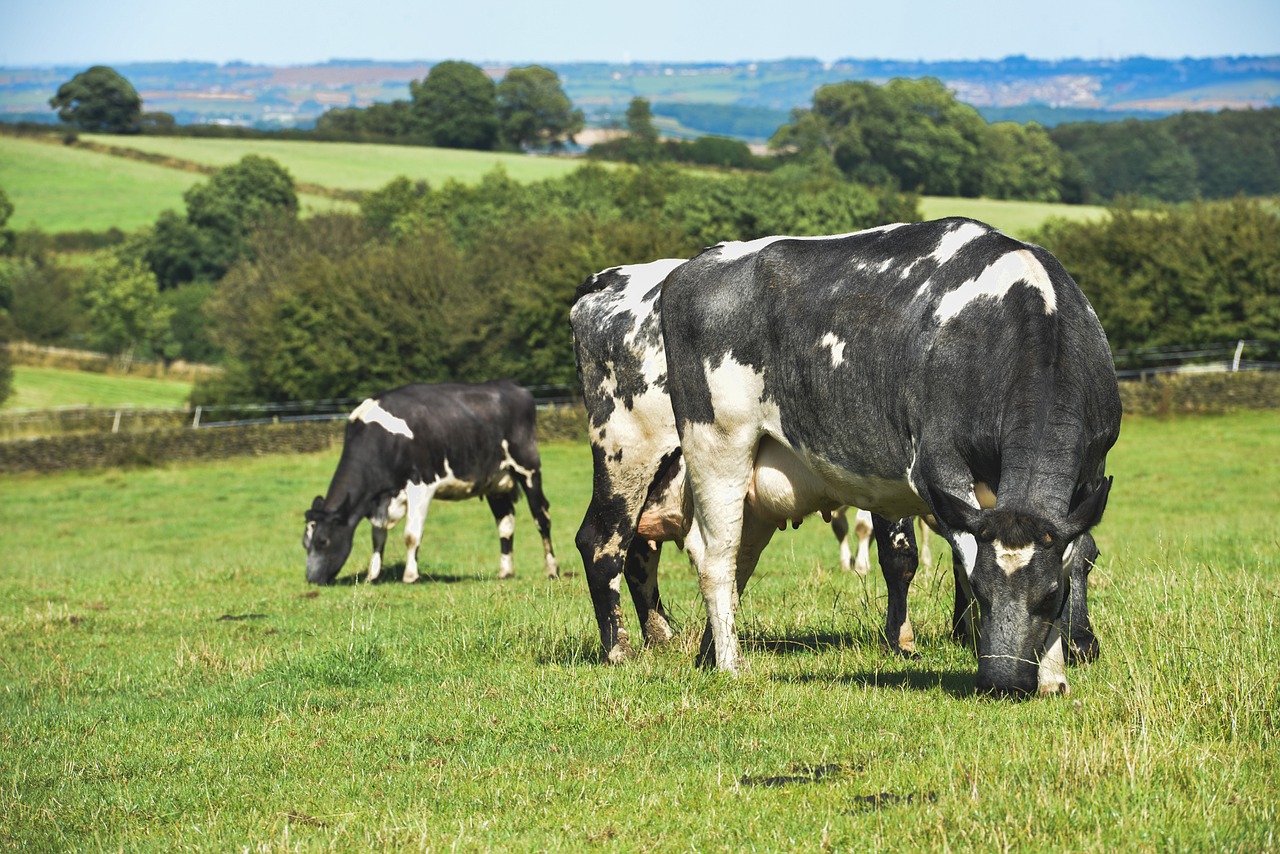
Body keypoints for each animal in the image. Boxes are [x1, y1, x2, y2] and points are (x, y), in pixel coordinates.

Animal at [302, 381, 563, 588]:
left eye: (323, 541)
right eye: (305, 543)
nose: (312, 580)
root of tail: (515, 388)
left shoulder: (421, 486)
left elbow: (411, 535)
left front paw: (410, 576)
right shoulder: (382, 498)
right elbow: (378, 536)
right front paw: (372, 575)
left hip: (528, 468)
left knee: (541, 517)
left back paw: (552, 570)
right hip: (495, 482)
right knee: (505, 523)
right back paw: (505, 571)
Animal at [576, 257, 926, 665]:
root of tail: (607, 278)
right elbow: (900, 554)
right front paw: (902, 642)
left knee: (642, 553)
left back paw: (662, 637)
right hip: (627, 459)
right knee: (601, 543)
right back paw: (620, 650)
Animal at [660, 217, 1121, 696]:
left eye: (1050, 595)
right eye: (980, 590)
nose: (1003, 681)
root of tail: (693, 266)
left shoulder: (1090, 474)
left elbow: (1075, 552)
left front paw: (1053, 674)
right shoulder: (937, 466)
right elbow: (963, 552)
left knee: (741, 562)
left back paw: (709, 655)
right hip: (716, 446)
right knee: (717, 561)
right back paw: (731, 665)